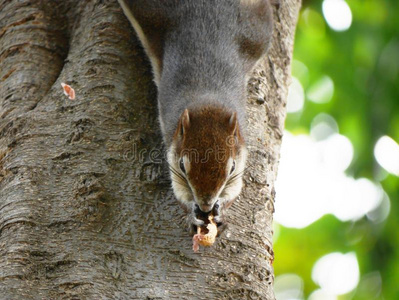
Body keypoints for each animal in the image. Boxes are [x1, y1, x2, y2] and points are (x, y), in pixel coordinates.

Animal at [119, 0, 274, 234]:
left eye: (232, 168)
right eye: (183, 166)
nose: (206, 205)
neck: (207, 97)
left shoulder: (241, 150)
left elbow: (236, 187)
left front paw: (221, 208)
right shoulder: (172, 145)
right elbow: (178, 189)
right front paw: (192, 213)